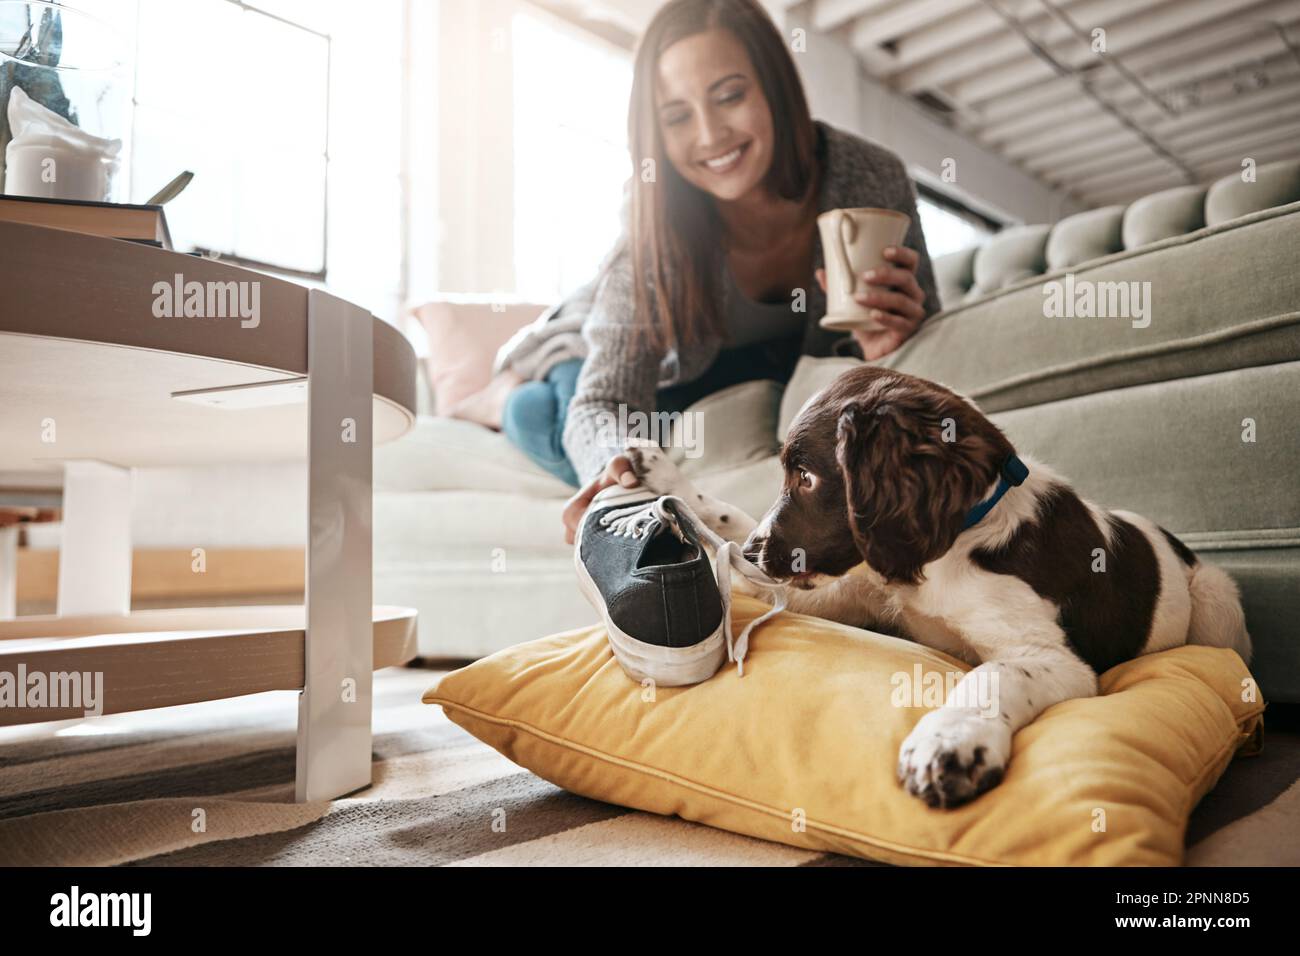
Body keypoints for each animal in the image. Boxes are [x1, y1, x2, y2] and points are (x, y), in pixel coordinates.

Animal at [624, 366, 1253, 806]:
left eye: (806, 477)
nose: (759, 549)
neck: (949, 549)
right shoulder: (847, 585)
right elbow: (730, 539)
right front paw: (669, 490)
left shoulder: (1052, 656)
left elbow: (993, 675)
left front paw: (950, 744)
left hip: (1216, 600)